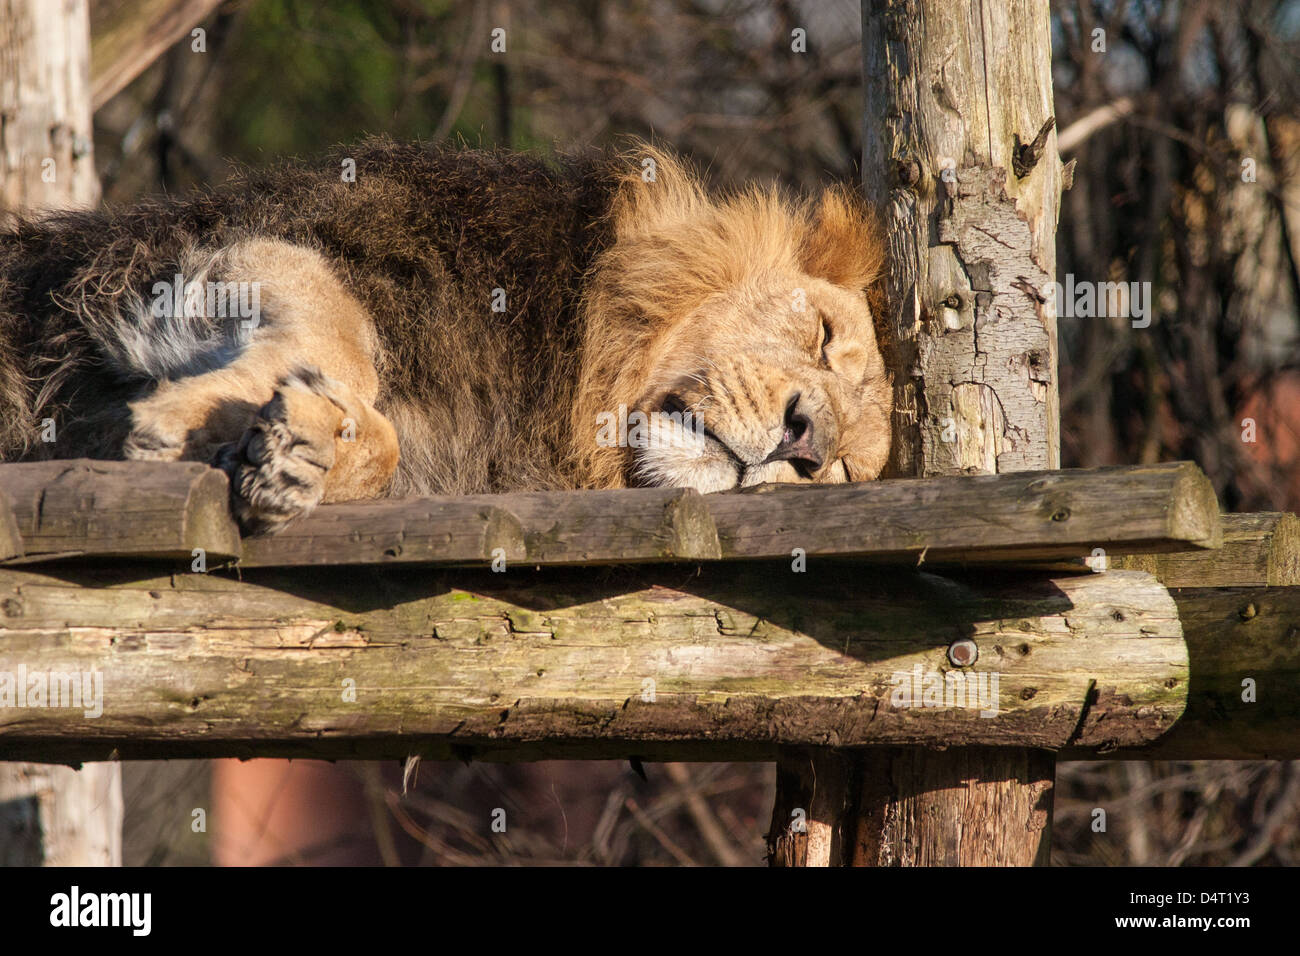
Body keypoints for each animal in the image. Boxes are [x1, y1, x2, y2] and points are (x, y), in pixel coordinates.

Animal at [0, 139, 891, 528]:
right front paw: (190, 426)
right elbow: (342, 339)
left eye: (844, 472)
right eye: (820, 335)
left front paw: (295, 458)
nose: (807, 442)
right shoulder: (254, 250)